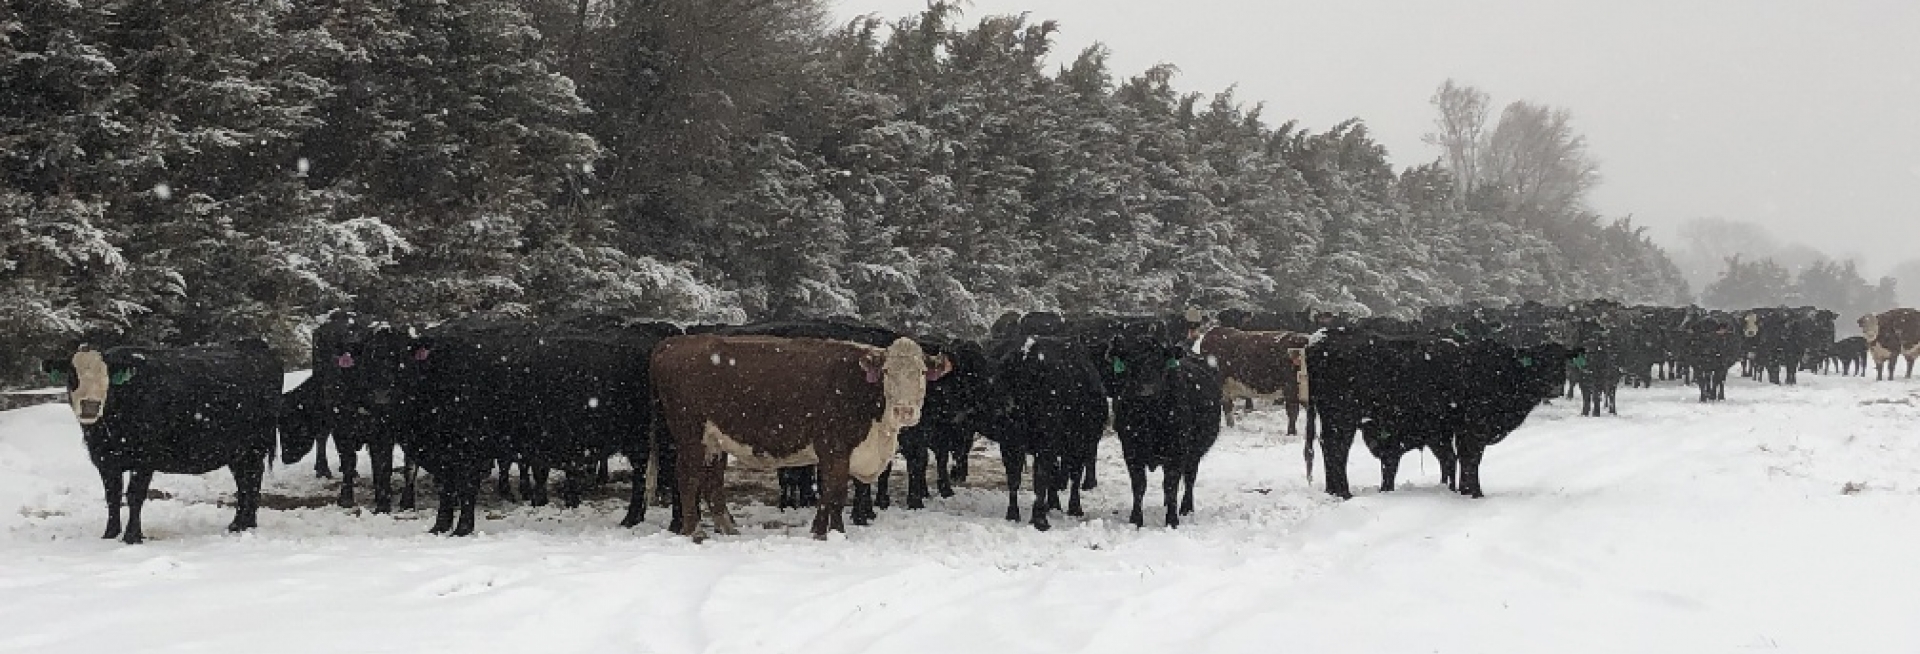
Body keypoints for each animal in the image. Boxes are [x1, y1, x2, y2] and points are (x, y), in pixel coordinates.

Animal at [42, 339, 280, 540]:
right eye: (72, 375)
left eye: (107, 377)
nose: (90, 405)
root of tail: (254, 344)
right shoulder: (105, 459)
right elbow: (112, 495)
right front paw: (110, 534)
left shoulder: (144, 459)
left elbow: (134, 495)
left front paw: (131, 537)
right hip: (237, 452)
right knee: (243, 482)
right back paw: (239, 524)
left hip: (254, 447)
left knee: (252, 480)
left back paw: (245, 525)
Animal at [648, 333, 948, 537]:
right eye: (886, 371)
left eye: (922, 372)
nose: (904, 410)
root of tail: (673, 343)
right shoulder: (833, 447)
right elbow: (834, 491)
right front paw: (825, 533)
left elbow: (836, 495)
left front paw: (834, 531)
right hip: (690, 435)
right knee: (688, 479)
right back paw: (695, 532)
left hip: (714, 440)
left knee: (712, 482)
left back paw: (728, 529)